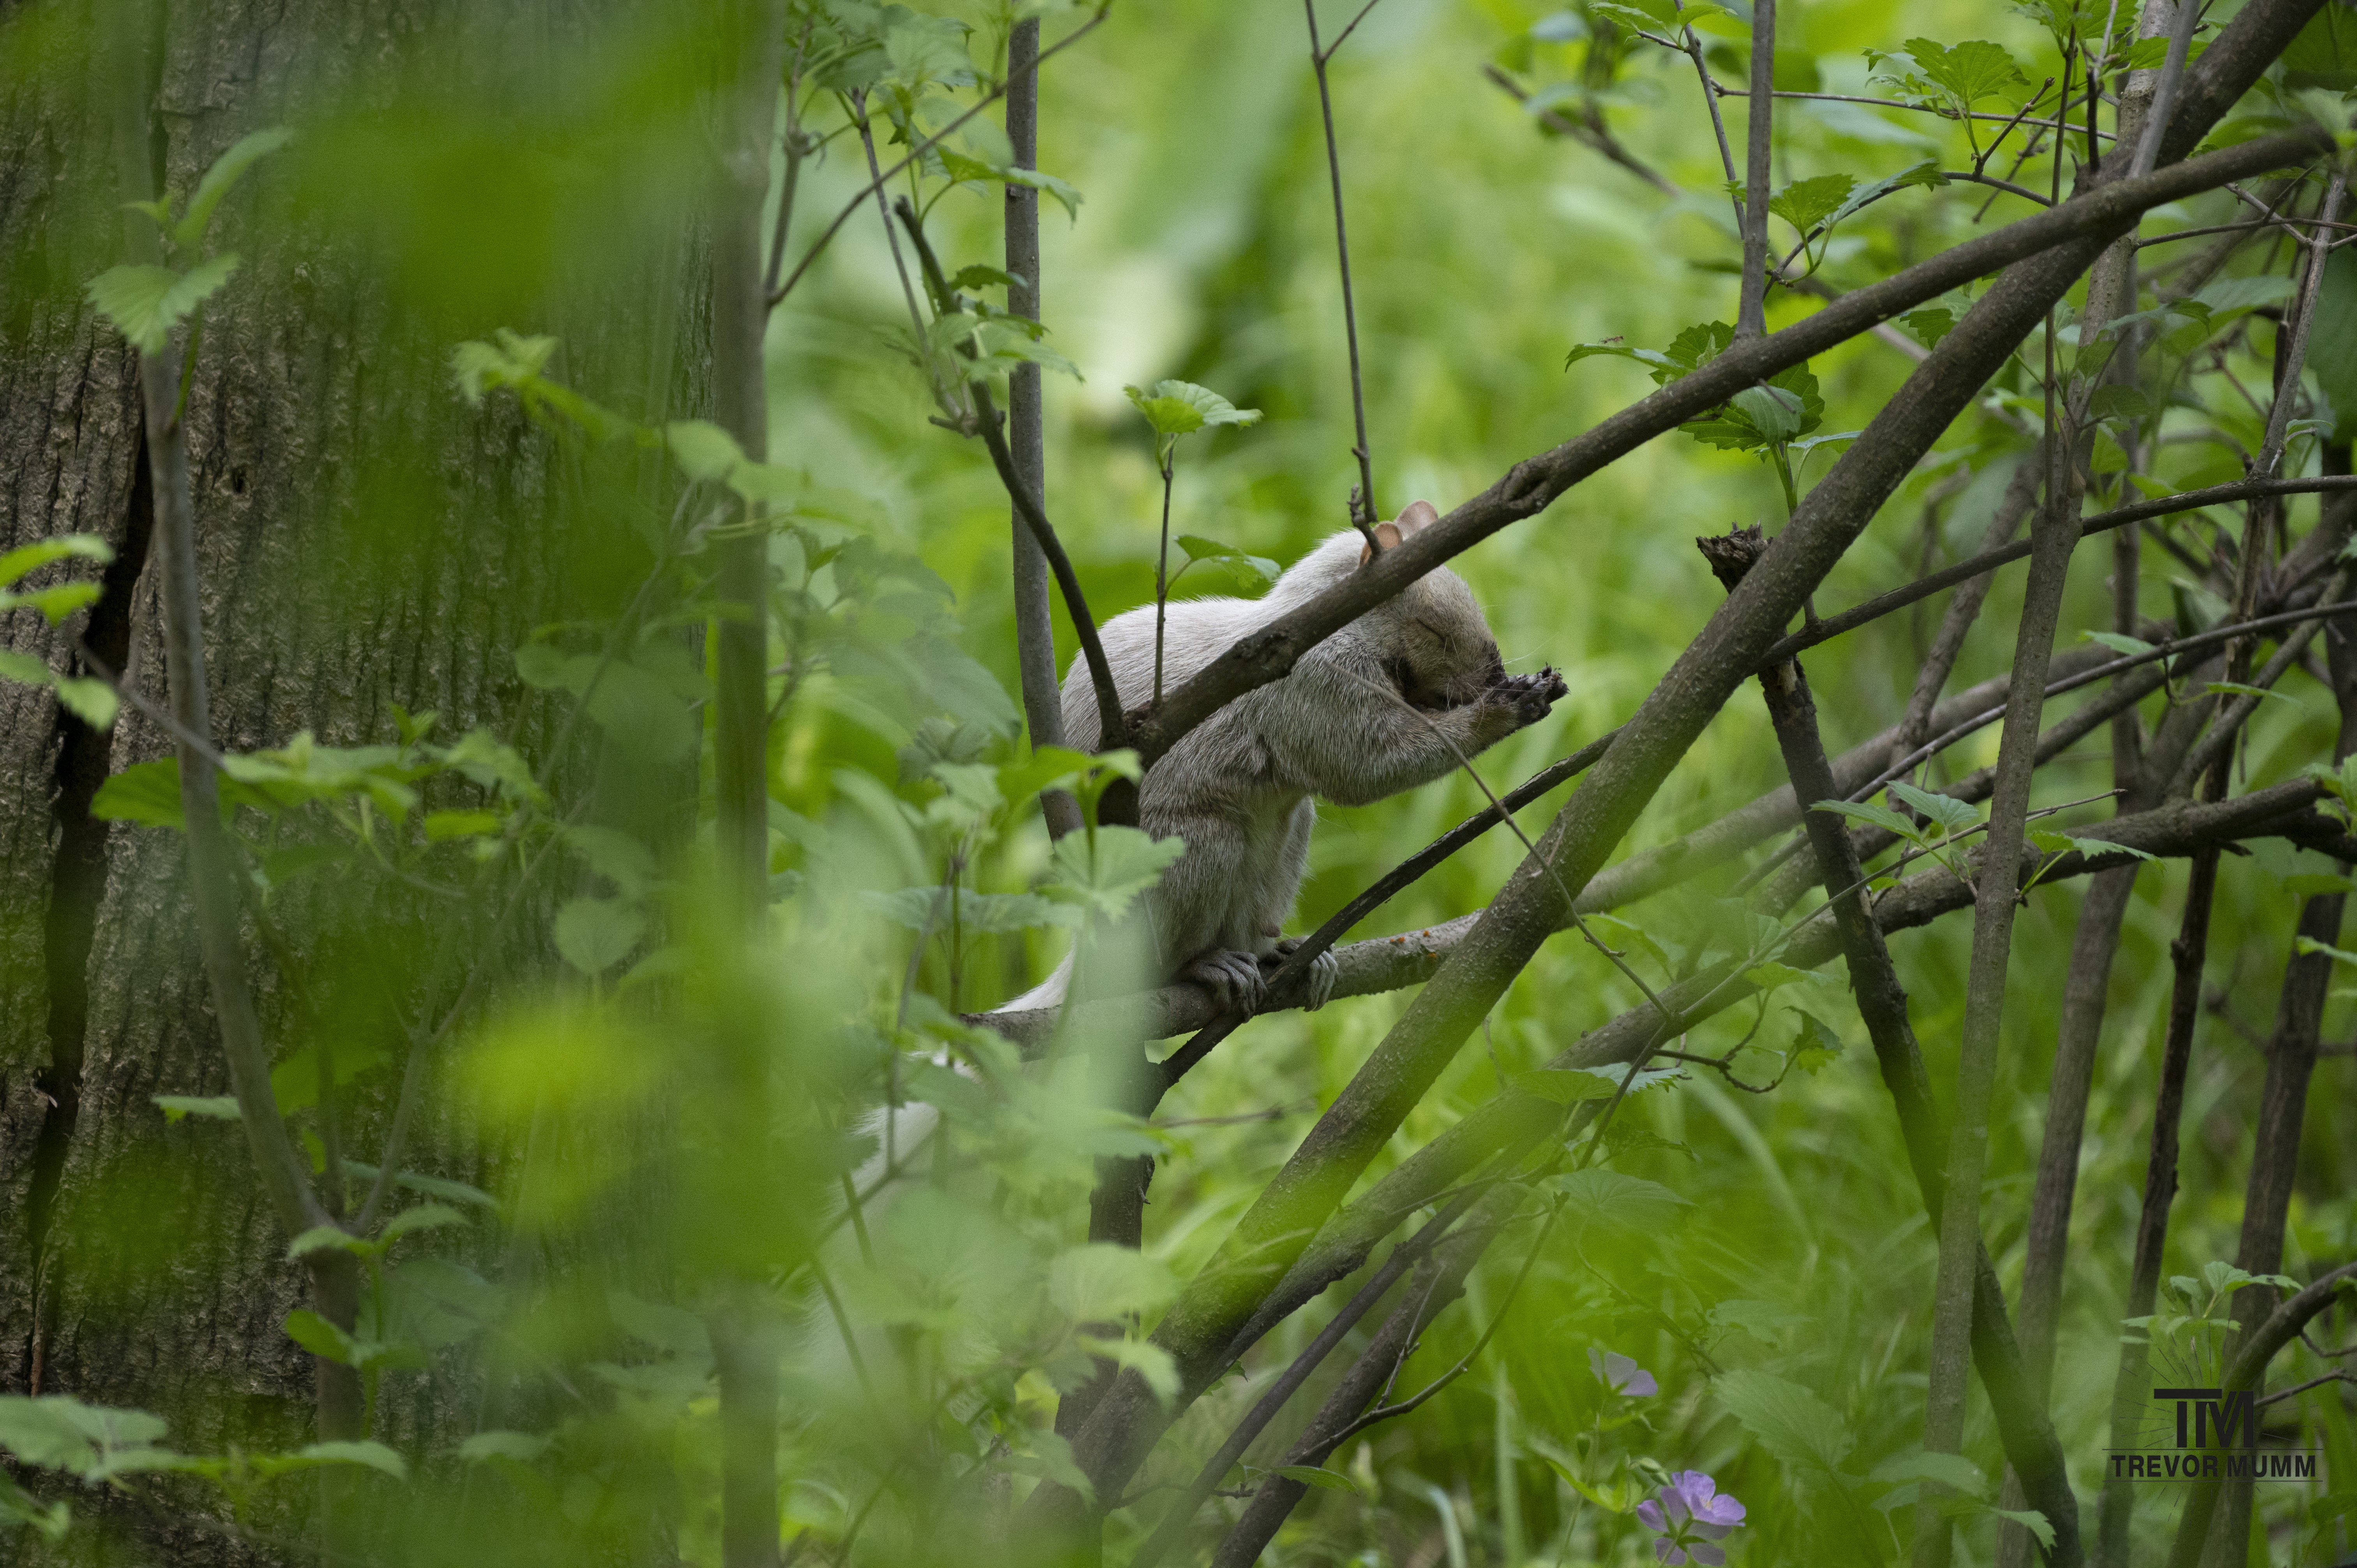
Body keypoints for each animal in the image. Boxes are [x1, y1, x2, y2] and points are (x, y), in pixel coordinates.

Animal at [1010, 499, 1567, 1015]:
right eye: (1431, 628)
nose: (1495, 678)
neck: (1337, 628)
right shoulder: (1316, 686)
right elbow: (1368, 767)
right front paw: (1503, 710)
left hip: (1285, 847)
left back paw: (1286, 956)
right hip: (1190, 847)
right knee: (1170, 955)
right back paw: (1206, 964)